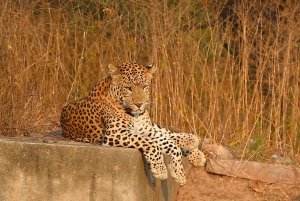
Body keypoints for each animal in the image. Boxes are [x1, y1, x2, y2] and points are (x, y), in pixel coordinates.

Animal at [61, 61, 206, 185]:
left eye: (144, 87)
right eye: (128, 88)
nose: (139, 104)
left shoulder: (145, 130)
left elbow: (167, 142)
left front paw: (178, 173)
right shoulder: (116, 134)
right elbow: (153, 144)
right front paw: (162, 170)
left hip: (150, 127)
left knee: (167, 132)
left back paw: (194, 147)